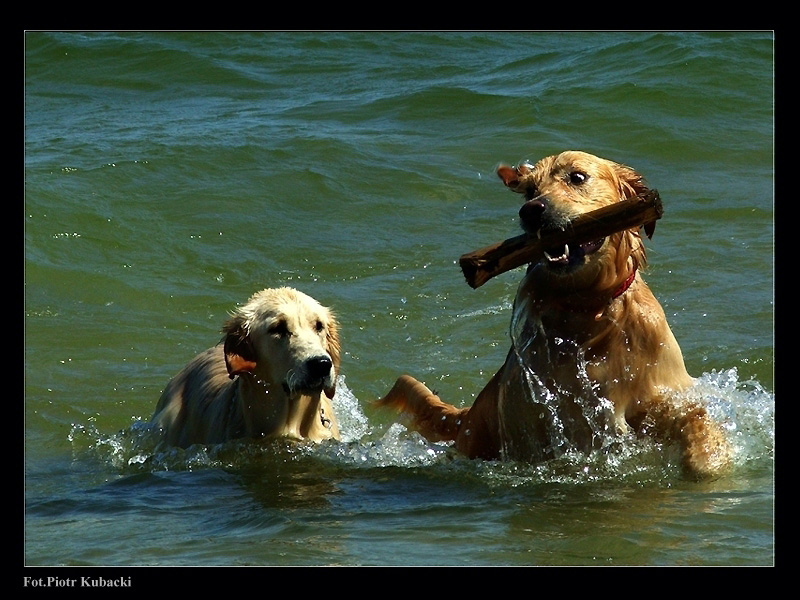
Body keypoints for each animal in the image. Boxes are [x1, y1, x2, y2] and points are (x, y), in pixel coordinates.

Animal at [378, 151, 736, 482]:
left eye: (577, 177)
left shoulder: (662, 390)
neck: (589, 309)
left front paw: (709, 456)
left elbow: (695, 417)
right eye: (529, 191)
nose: (531, 211)